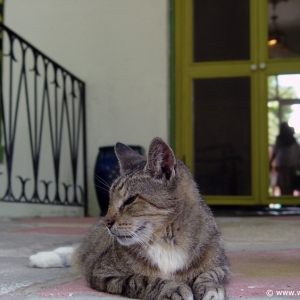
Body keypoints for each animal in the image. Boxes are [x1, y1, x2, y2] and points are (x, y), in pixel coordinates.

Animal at [29, 137, 230, 298]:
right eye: (110, 200)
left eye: (130, 200)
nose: (106, 222)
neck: (166, 240)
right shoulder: (103, 273)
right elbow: (143, 280)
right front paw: (172, 288)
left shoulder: (222, 265)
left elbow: (209, 273)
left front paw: (210, 288)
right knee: (74, 252)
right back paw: (41, 258)